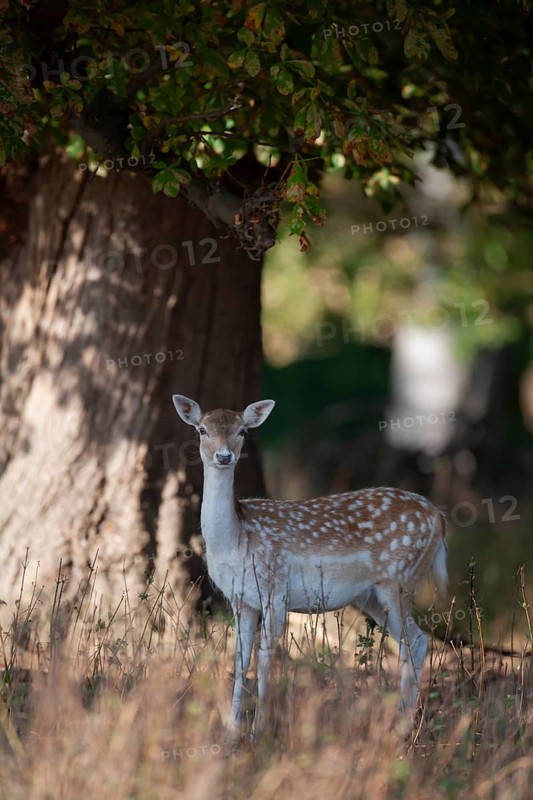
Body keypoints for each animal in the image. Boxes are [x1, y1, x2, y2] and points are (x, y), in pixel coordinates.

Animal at [172, 394, 448, 736]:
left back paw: (403, 727)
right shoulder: (241, 600)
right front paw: (232, 731)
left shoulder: (275, 589)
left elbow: (265, 658)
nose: (224, 456)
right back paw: (402, 724)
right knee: (417, 640)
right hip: (369, 596)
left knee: (414, 643)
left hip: (399, 579)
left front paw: (259, 730)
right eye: (202, 429)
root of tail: (438, 517)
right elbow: (240, 659)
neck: (235, 541)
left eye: (242, 431)